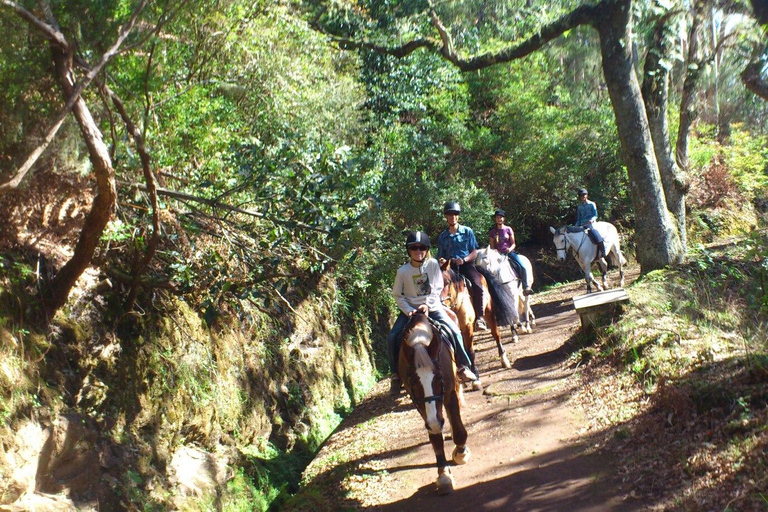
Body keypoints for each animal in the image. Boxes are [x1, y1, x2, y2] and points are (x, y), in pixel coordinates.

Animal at [400, 310, 472, 494]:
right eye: (413, 382)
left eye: (439, 377)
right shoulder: (419, 403)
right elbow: (435, 436)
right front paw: (443, 474)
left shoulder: (449, 392)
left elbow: (458, 429)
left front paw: (461, 453)